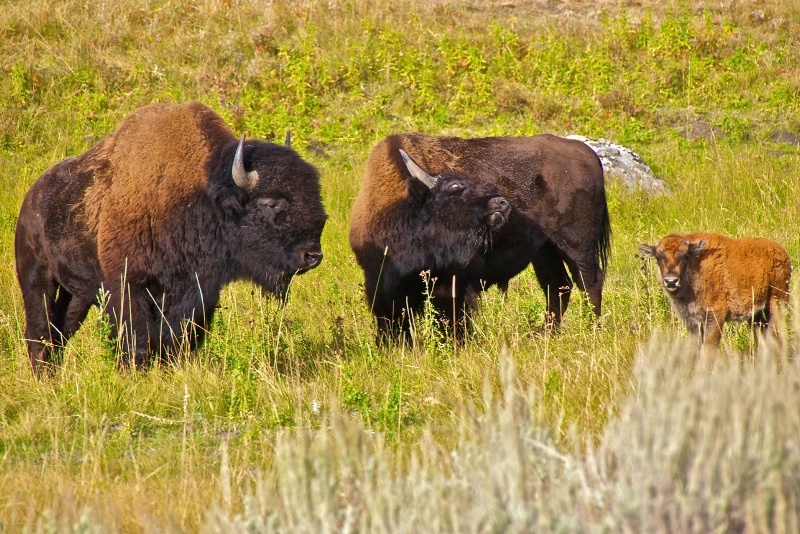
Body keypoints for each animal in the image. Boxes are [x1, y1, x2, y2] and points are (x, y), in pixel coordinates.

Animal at [13, 101, 324, 372]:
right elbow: (138, 342)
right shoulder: (128, 286)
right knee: (39, 332)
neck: (198, 193)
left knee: (60, 334)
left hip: (78, 294)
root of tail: (31, 197)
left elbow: (177, 342)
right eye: (270, 202)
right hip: (37, 277)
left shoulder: (198, 293)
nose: (313, 255)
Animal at [352, 134, 612, 344]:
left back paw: (592, 331)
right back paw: (545, 335)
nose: (502, 203)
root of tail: (586, 152)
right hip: (545, 251)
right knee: (558, 286)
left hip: (576, 245)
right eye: (455, 186)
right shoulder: (381, 282)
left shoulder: (453, 284)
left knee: (589, 282)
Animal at [636, 233, 792, 350]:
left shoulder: (715, 317)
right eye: (658, 257)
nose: (670, 281)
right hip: (757, 315)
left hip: (777, 303)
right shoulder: (692, 322)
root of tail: (783, 253)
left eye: (685, 256)